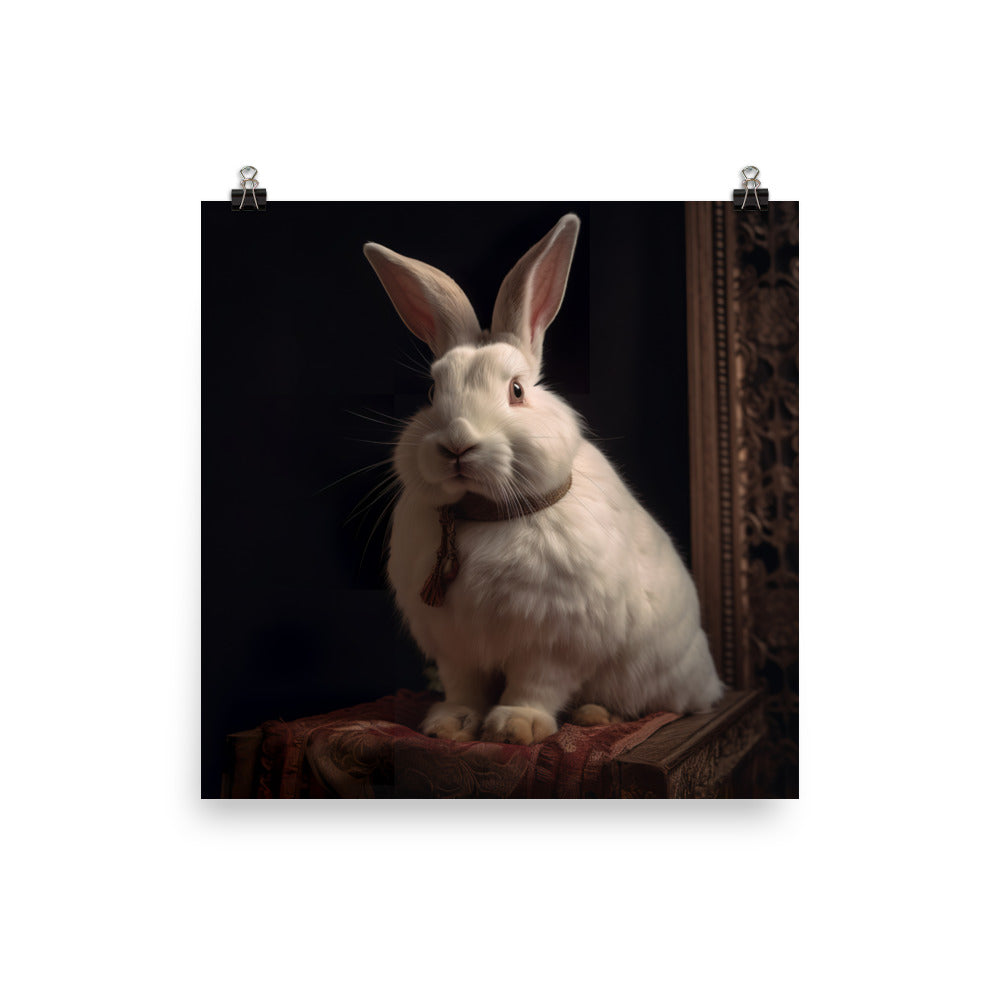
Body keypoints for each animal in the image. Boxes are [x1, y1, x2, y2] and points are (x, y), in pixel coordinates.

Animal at [363, 213, 723, 745]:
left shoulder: (554, 640)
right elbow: (463, 686)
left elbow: (537, 684)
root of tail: (709, 681)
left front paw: (516, 727)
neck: (483, 516)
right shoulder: (456, 646)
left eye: (516, 391)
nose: (457, 444)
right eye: (431, 392)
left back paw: (595, 715)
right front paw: (451, 725)